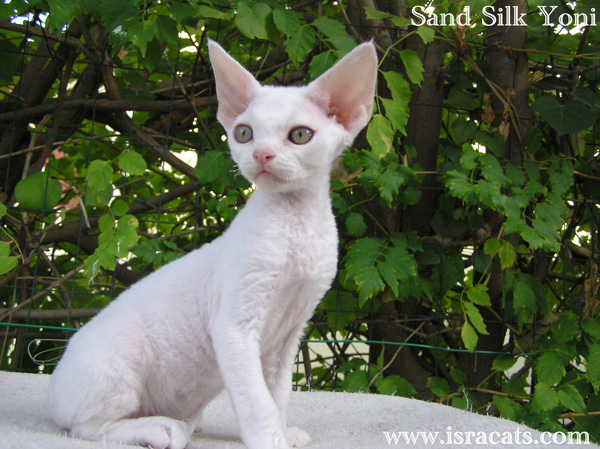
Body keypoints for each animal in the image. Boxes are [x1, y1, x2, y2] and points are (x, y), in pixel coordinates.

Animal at [47, 39, 378, 448]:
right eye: (244, 134)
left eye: (300, 135)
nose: (261, 154)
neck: (295, 224)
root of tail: (54, 386)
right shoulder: (234, 325)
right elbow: (256, 400)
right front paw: (269, 438)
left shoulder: (289, 336)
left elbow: (278, 393)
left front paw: (284, 432)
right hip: (120, 354)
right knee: (86, 427)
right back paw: (159, 428)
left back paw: (186, 421)